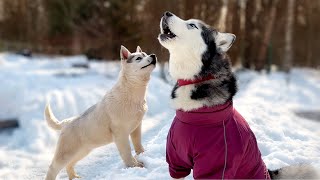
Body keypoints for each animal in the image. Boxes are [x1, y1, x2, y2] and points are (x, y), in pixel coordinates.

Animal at [43, 45, 156, 179]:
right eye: (138, 58)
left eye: (146, 54)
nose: (153, 55)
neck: (130, 93)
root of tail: (65, 123)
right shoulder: (121, 134)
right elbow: (127, 152)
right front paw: (134, 166)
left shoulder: (136, 127)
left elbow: (138, 145)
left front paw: (142, 155)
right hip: (66, 152)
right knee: (52, 168)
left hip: (83, 150)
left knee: (69, 164)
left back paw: (74, 177)